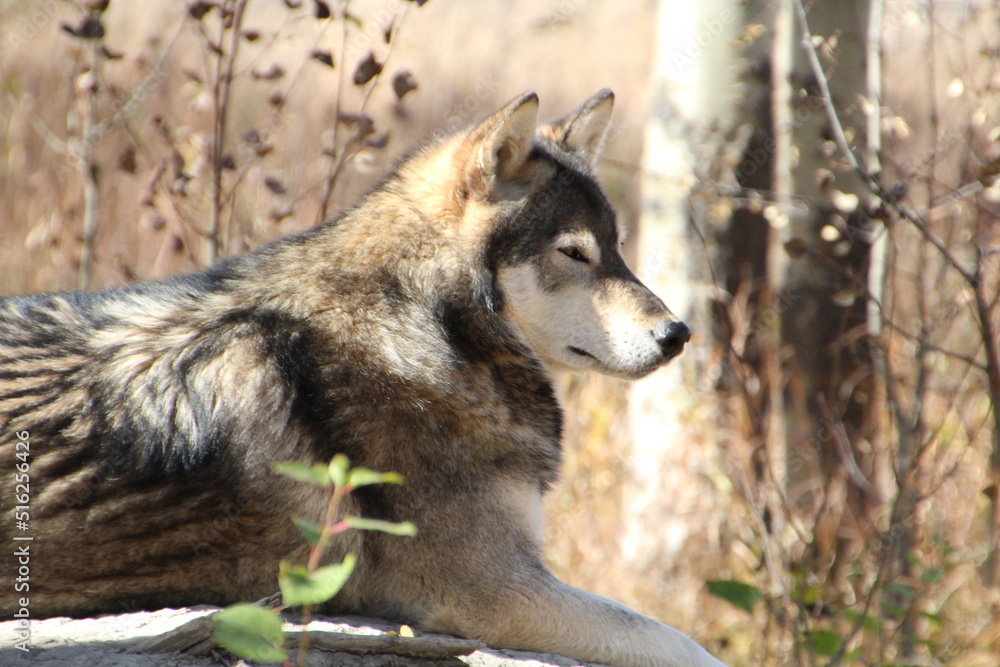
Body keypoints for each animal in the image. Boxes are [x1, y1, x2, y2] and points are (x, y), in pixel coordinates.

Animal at [0, 90, 723, 667]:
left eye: (619, 250)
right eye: (573, 253)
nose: (679, 334)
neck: (431, 335)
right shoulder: (496, 591)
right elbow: (679, 640)